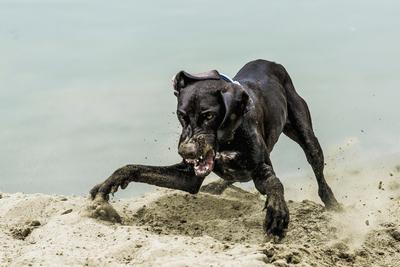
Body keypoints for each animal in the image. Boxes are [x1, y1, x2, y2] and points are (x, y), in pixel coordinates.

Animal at [89, 59, 340, 238]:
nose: (186, 152)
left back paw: (333, 204)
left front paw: (277, 213)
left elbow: (275, 184)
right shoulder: (188, 177)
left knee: (318, 172)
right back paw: (218, 186)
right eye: (181, 115)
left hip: (307, 136)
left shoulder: (261, 169)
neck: (226, 138)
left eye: (209, 115)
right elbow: (134, 168)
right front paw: (107, 185)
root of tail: (272, 63)